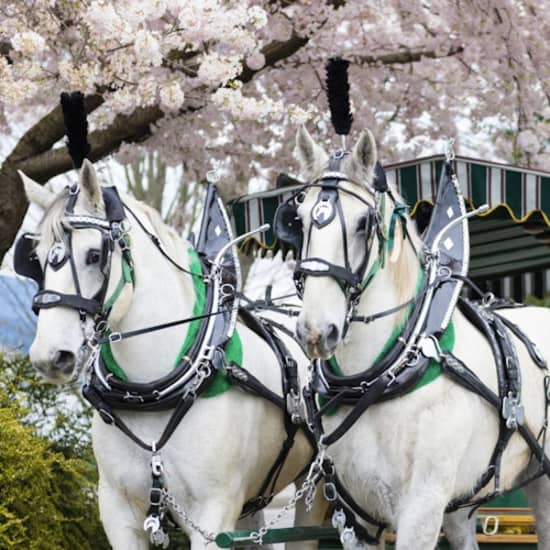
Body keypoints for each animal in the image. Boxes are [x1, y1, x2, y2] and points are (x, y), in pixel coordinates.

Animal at [20, 163, 328, 550]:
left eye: (93, 255)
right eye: (37, 258)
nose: (50, 355)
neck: (152, 392)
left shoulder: (213, 515)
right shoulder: (118, 512)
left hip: (314, 486)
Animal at [292, 126, 550, 550]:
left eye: (364, 223)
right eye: (297, 220)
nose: (316, 330)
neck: (382, 379)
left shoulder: (421, 506)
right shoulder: (359, 516)